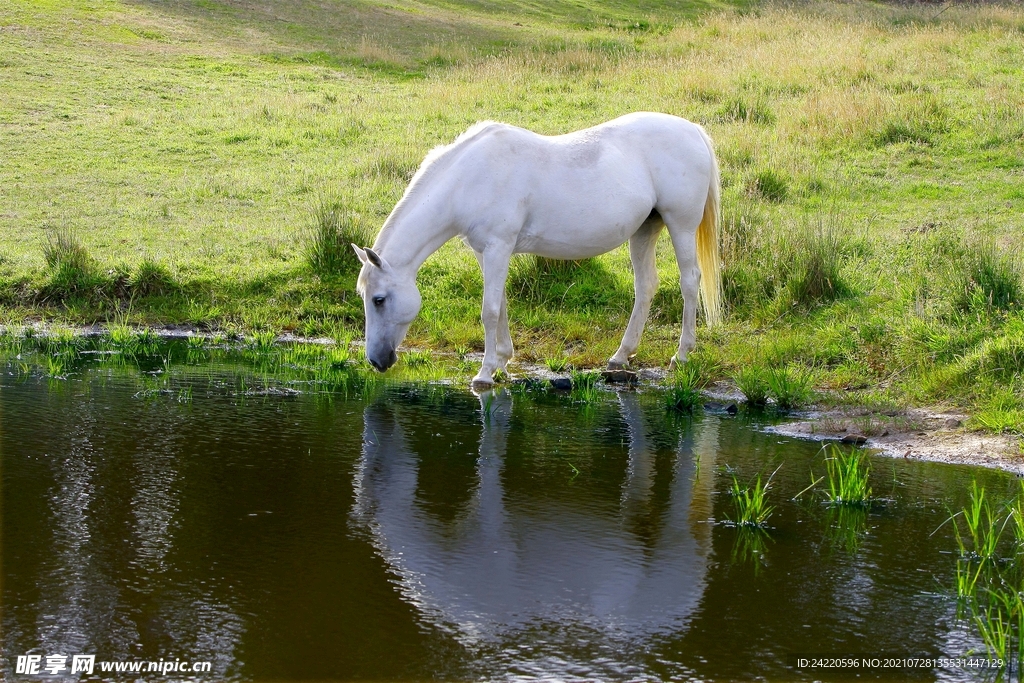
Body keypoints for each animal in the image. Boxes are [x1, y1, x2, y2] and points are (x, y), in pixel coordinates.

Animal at [352, 111, 722, 386]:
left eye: (379, 299)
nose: (376, 360)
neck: (469, 178)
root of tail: (694, 131)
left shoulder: (498, 247)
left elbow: (489, 310)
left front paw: (484, 373)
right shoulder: (486, 251)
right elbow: (500, 304)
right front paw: (502, 361)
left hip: (681, 226)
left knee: (689, 282)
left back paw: (681, 355)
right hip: (645, 230)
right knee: (645, 286)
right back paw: (620, 356)